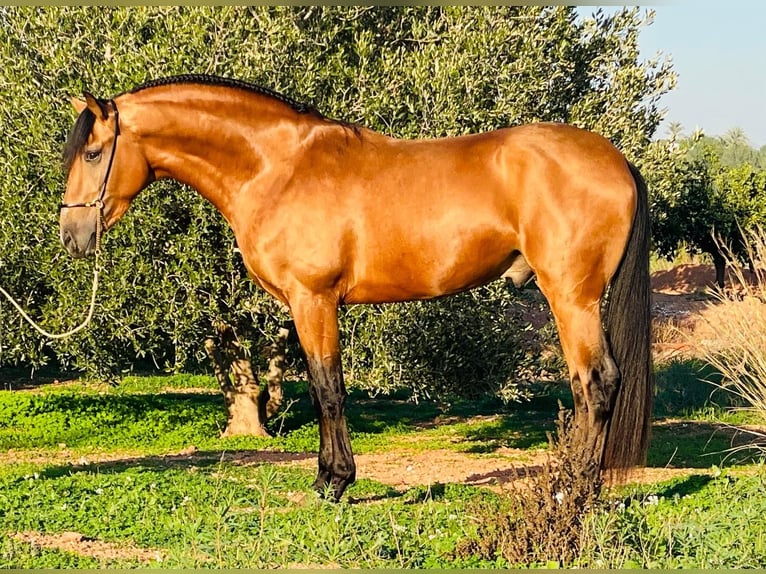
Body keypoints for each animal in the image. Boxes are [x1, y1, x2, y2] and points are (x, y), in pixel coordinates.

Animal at [60, 74, 656, 502]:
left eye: (93, 153)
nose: (72, 234)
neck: (276, 168)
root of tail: (616, 160)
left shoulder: (314, 300)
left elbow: (328, 390)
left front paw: (334, 483)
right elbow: (320, 388)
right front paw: (331, 477)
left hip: (572, 297)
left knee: (596, 384)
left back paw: (573, 489)